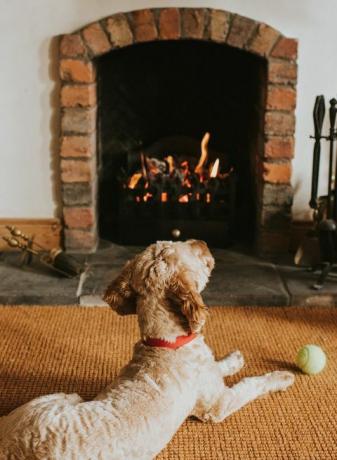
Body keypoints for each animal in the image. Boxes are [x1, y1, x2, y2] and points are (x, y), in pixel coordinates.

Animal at [0, 239, 294, 458]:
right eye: (187, 249)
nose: (202, 242)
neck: (166, 342)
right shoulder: (217, 404)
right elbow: (251, 385)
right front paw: (281, 378)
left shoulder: (207, 373)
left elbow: (218, 365)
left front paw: (234, 359)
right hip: (62, 399)